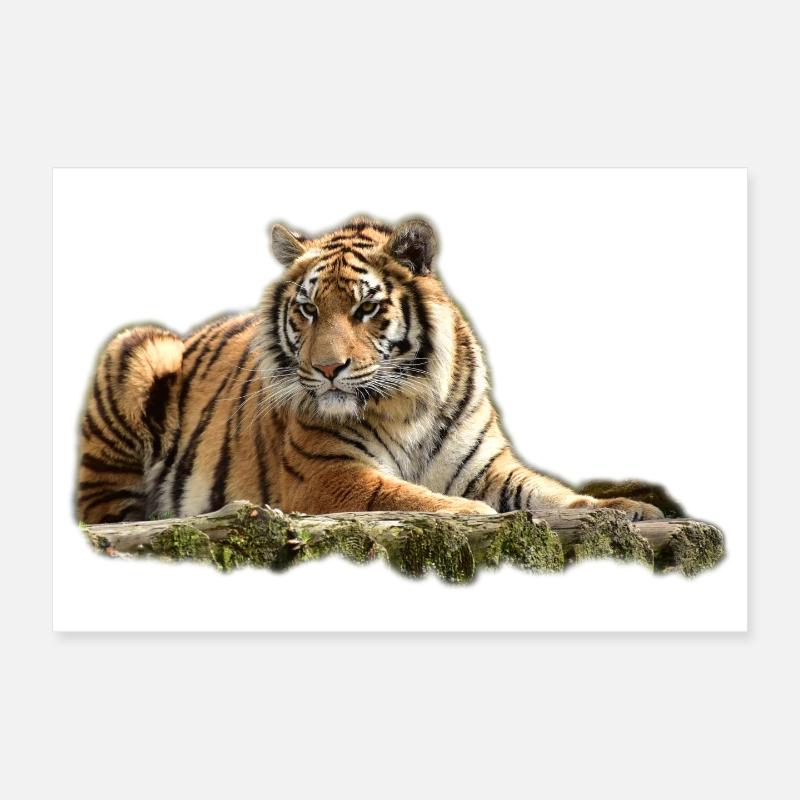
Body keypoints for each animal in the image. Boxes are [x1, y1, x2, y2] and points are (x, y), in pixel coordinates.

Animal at [76, 216, 664, 525]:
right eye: (308, 309)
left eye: (365, 308)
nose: (327, 368)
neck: (409, 406)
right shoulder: (327, 476)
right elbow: (404, 496)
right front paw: (473, 514)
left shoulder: (488, 467)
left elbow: (548, 492)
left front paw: (624, 508)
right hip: (139, 348)